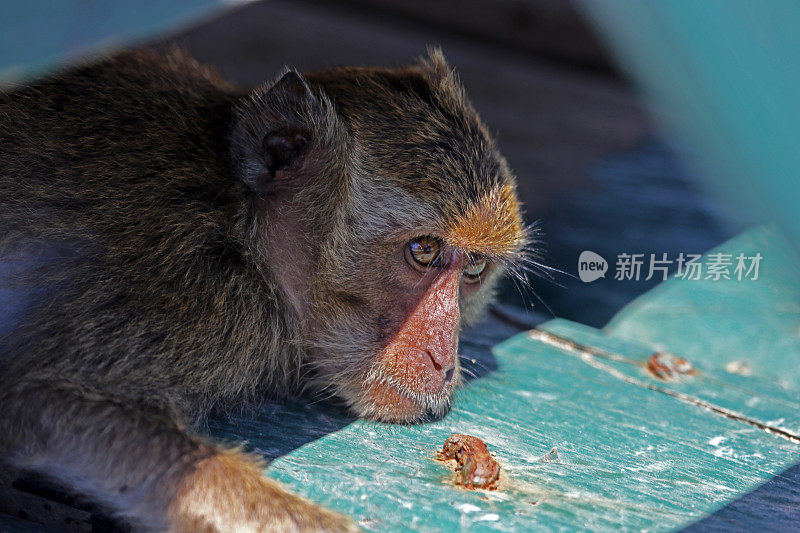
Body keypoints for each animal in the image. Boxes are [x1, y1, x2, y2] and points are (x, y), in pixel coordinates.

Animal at [0, 47, 528, 528]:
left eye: (474, 267)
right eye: (423, 250)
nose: (445, 361)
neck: (238, 231)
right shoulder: (186, 308)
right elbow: (33, 399)